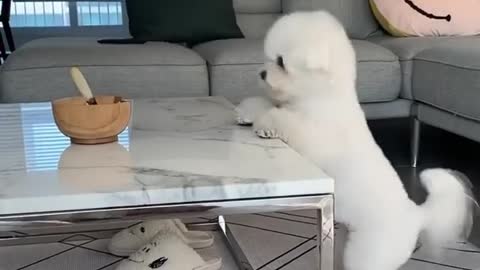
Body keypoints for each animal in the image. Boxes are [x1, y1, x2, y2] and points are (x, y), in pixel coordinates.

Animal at [234, 10, 474, 270]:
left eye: (281, 62)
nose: (261, 74)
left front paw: (265, 125)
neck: (320, 97)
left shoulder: (311, 135)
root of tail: (415, 215)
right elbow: (263, 104)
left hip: (368, 252)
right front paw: (246, 112)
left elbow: (282, 119)